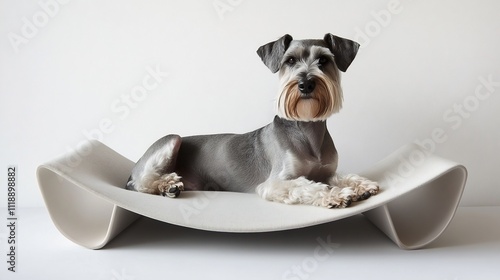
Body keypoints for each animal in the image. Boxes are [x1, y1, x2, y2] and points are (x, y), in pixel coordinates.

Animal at [126, 33, 378, 208]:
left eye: (324, 60)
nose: (306, 83)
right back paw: (167, 184)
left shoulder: (325, 172)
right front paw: (336, 195)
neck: (306, 129)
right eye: (290, 60)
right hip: (172, 139)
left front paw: (361, 185)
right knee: (143, 180)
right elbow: (308, 186)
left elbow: (339, 176)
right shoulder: (275, 182)